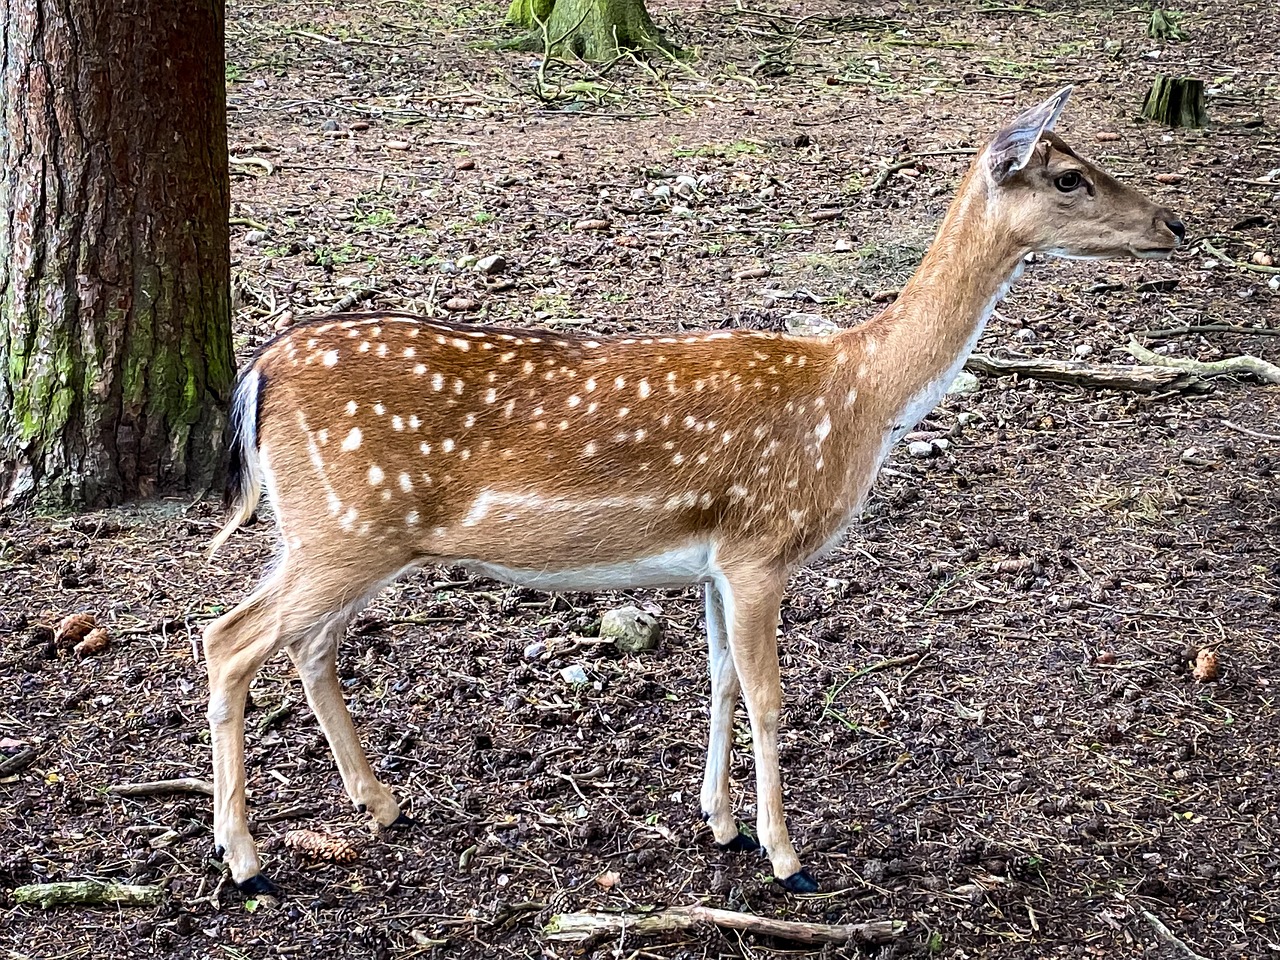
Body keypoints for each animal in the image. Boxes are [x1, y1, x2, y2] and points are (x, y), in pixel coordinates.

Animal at [203, 86, 1183, 896]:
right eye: (1069, 177)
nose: (1172, 224)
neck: (861, 396)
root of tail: (260, 373)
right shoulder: (762, 546)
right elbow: (769, 695)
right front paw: (786, 856)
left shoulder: (714, 559)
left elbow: (717, 681)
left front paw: (719, 824)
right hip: (347, 526)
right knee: (228, 638)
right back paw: (247, 861)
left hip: (333, 531)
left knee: (304, 644)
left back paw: (381, 805)